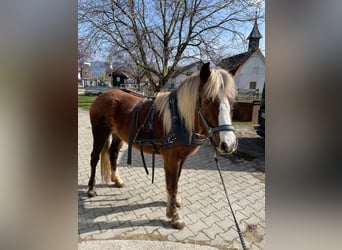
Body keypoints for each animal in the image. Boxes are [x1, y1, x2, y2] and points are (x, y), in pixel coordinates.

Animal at [87, 62, 238, 229]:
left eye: (232, 102)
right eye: (207, 101)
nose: (228, 144)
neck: (180, 119)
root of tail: (102, 96)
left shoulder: (182, 158)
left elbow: (176, 181)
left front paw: (175, 202)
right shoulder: (171, 159)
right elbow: (171, 185)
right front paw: (174, 216)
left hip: (118, 135)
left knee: (113, 154)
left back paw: (117, 180)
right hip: (100, 133)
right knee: (94, 158)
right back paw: (91, 189)